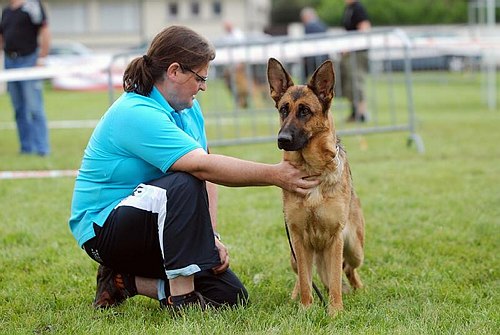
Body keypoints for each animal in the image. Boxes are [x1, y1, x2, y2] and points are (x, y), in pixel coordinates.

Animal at [268, 58, 366, 318]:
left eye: (305, 111)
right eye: (283, 109)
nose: (282, 140)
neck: (311, 169)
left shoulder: (335, 239)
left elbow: (335, 280)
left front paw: (335, 312)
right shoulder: (299, 239)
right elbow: (305, 280)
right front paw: (305, 309)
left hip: (355, 249)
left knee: (348, 270)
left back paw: (359, 289)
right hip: (293, 254)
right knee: (304, 276)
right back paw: (294, 297)